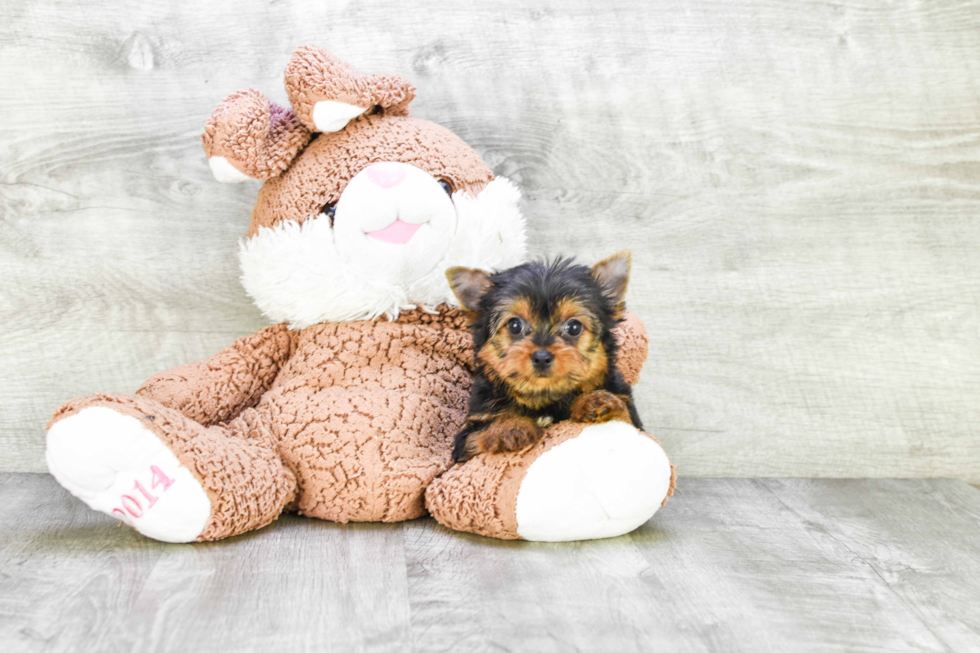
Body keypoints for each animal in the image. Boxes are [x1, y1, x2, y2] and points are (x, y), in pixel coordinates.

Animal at [446, 251, 644, 464]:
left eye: (574, 327)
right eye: (514, 325)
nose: (541, 357)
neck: (545, 398)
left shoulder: (630, 414)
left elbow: (625, 419)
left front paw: (595, 401)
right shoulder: (471, 431)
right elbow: (480, 431)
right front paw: (510, 427)